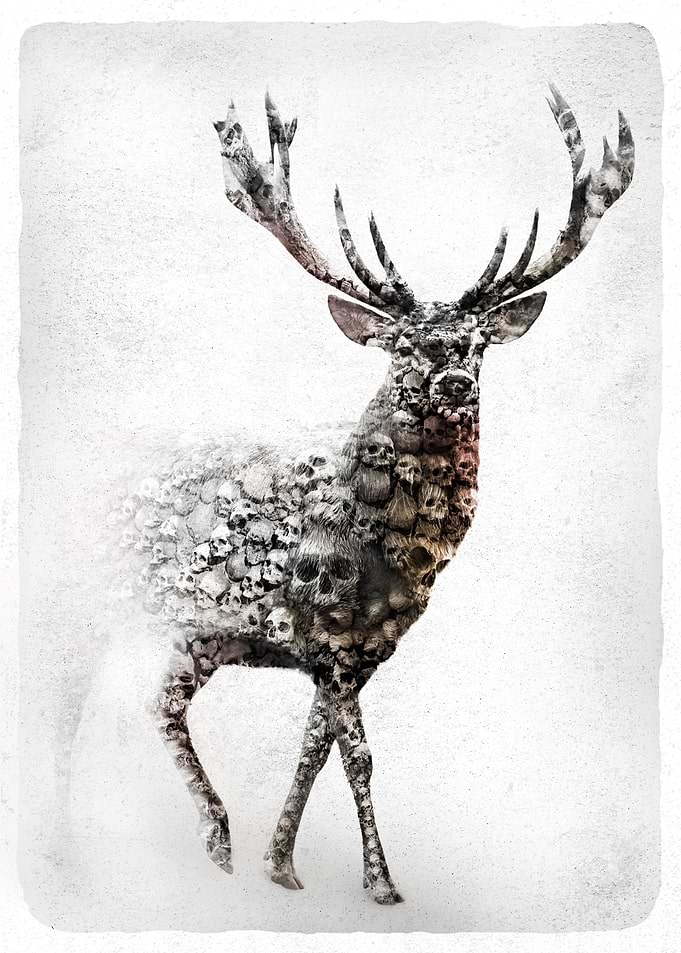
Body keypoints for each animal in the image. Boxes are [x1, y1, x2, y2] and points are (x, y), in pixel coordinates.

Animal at [104, 85, 634, 905]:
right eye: (403, 345)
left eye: (477, 344)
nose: (454, 382)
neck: (387, 545)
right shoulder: (325, 636)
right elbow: (356, 753)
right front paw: (380, 883)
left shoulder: (362, 650)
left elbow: (313, 748)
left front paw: (280, 864)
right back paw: (210, 838)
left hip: (196, 632)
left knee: (158, 705)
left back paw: (219, 843)